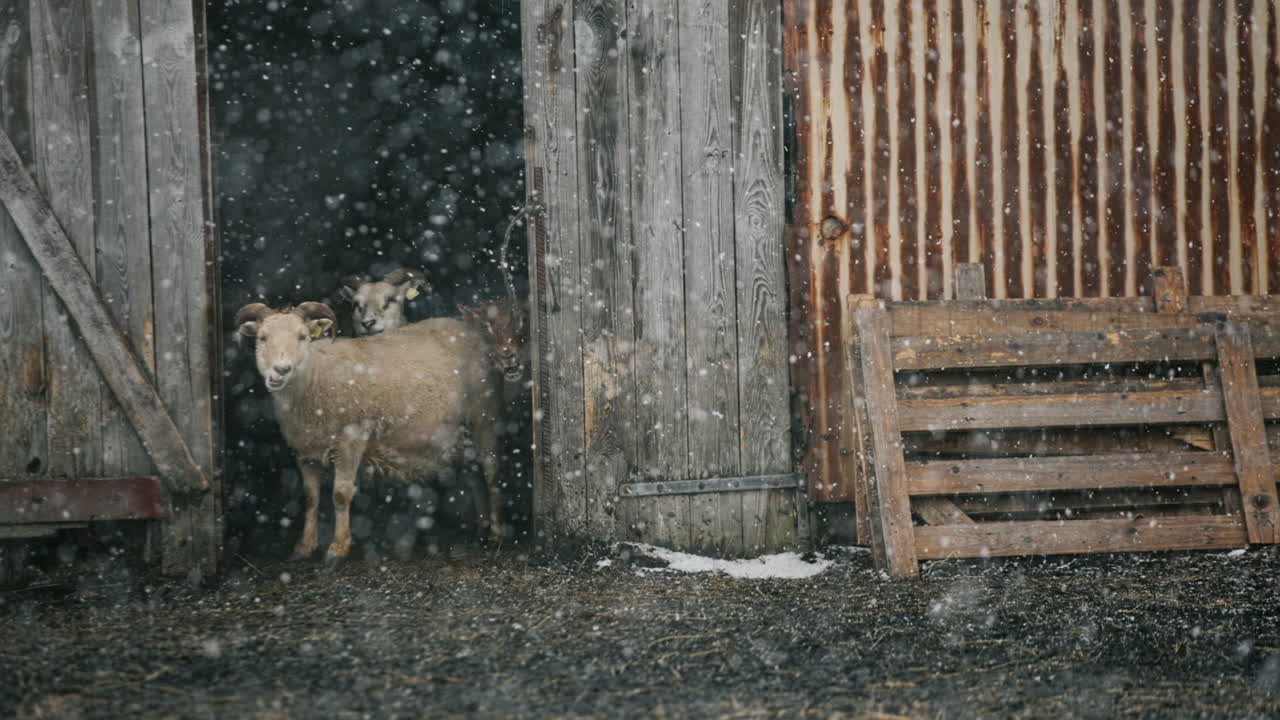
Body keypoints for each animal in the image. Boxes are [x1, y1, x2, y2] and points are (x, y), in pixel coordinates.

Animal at [234, 301, 503, 561]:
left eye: (303, 337)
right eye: (262, 338)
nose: (281, 370)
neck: (314, 378)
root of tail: (469, 330)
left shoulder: (351, 440)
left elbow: (340, 495)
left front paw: (337, 550)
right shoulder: (304, 451)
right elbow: (310, 498)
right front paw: (303, 549)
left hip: (484, 416)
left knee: (491, 471)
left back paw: (496, 533)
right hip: (460, 434)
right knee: (473, 473)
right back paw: (480, 530)